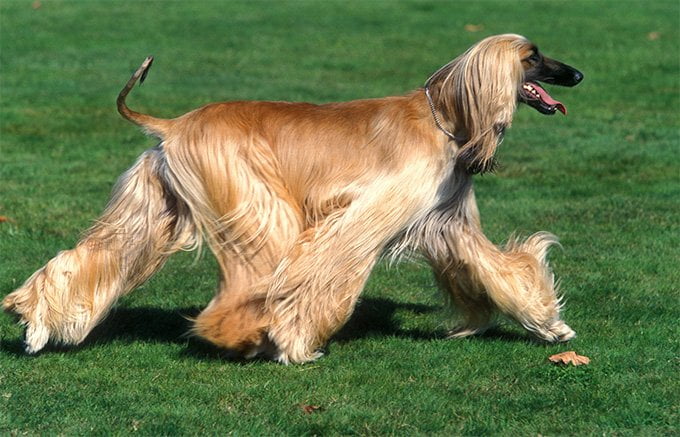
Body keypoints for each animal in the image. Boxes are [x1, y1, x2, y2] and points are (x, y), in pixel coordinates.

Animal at [2, 33, 580, 362]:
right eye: (533, 58)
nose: (576, 74)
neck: (446, 121)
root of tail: (175, 123)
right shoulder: (365, 213)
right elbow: (324, 268)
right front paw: (298, 345)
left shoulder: (449, 221)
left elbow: (496, 269)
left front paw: (549, 326)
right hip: (251, 198)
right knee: (255, 274)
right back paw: (244, 337)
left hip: (153, 204)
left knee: (96, 254)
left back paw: (36, 322)